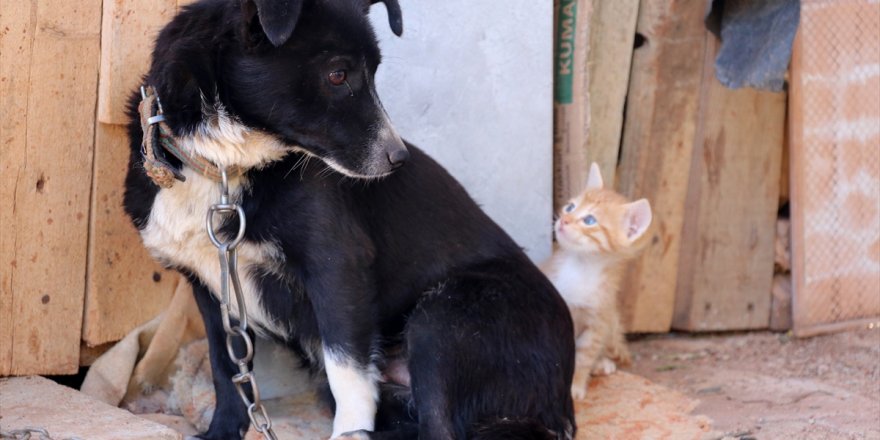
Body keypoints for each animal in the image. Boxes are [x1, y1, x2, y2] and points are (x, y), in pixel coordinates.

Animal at [125, 0, 576, 438]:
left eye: (372, 73)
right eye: (338, 74)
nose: (399, 158)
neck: (224, 170)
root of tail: (560, 402)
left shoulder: (337, 269)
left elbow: (348, 374)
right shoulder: (212, 287)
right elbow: (227, 372)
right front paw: (221, 432)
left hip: (443, 320)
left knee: (439, 426)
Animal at [540, 163, 648, 400]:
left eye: (590, 220)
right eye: (570, 207)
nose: (564, 220)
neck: (581, 268)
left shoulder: (598, 321)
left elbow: (583, 357)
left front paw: (576, 386)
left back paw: (601, 364)